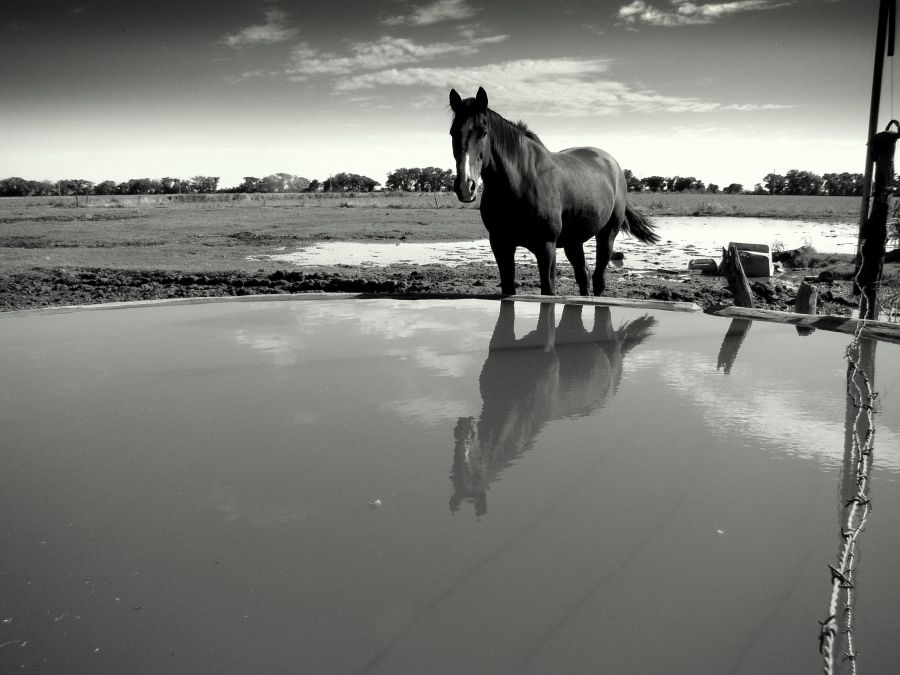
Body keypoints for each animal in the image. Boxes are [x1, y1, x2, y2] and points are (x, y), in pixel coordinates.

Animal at [446, 86, 656, 296]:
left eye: (483, 132)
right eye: (452, 132)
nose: (466, 186)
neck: (522, 180)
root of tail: (613, 165)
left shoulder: (546, 247)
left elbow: (548, 290)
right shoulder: (501, 245)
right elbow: (508, 288)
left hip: (607, 234)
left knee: (598, 278)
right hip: (574, 240)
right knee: (583, 275)